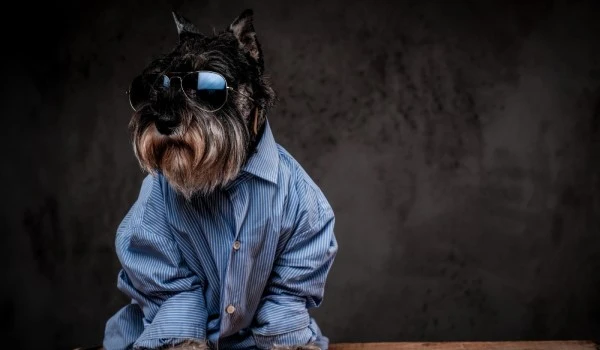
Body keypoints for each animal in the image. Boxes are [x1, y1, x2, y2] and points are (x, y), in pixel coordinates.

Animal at [102, 8, 338, 350]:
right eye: (157, 84)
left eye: (208, 85)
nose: (164, 121)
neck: (230, 175)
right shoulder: (157, 248)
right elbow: (177, 305)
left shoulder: (303, 246)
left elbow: (285, 305)